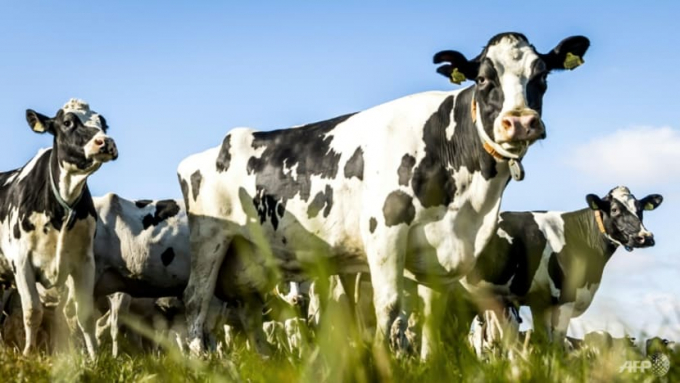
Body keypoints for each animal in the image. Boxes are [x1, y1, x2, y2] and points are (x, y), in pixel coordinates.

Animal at [0, 100, 117, 360]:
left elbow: (84, 314)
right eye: (67, 122)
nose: (105, 142)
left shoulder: (84, 262)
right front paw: (28, 354)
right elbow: (32, 311)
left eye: (104, 124)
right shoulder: (21, 261)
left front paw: (93, 358)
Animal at [178, 31, 588, 358]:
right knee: (196, 302)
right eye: (485, 79)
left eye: (541, 76)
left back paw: (265, 361)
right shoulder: (385, 231)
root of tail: (211, 150)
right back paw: (201, 362)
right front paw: (385, 359)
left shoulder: (440, 253)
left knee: (249, 313)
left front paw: (429, 362)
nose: (519, 122)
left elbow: (431, 316)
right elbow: (388, 308)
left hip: (251, 261)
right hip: (210, 241)